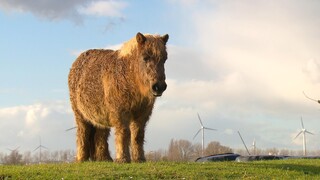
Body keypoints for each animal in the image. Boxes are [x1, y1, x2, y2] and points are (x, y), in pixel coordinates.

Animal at [68, 32, 170, 163]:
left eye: (164, 59)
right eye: (145, 57)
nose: (159, 86)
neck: (128, 74)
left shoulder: (142, 114)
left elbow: (138, 135)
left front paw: (139, 158)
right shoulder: (120, 113)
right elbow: (124, 133)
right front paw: (123, 158)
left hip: (101, 116)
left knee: (100, 135)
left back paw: (104, 158)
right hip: (80, 115)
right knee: (83, 133)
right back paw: (82, 159)